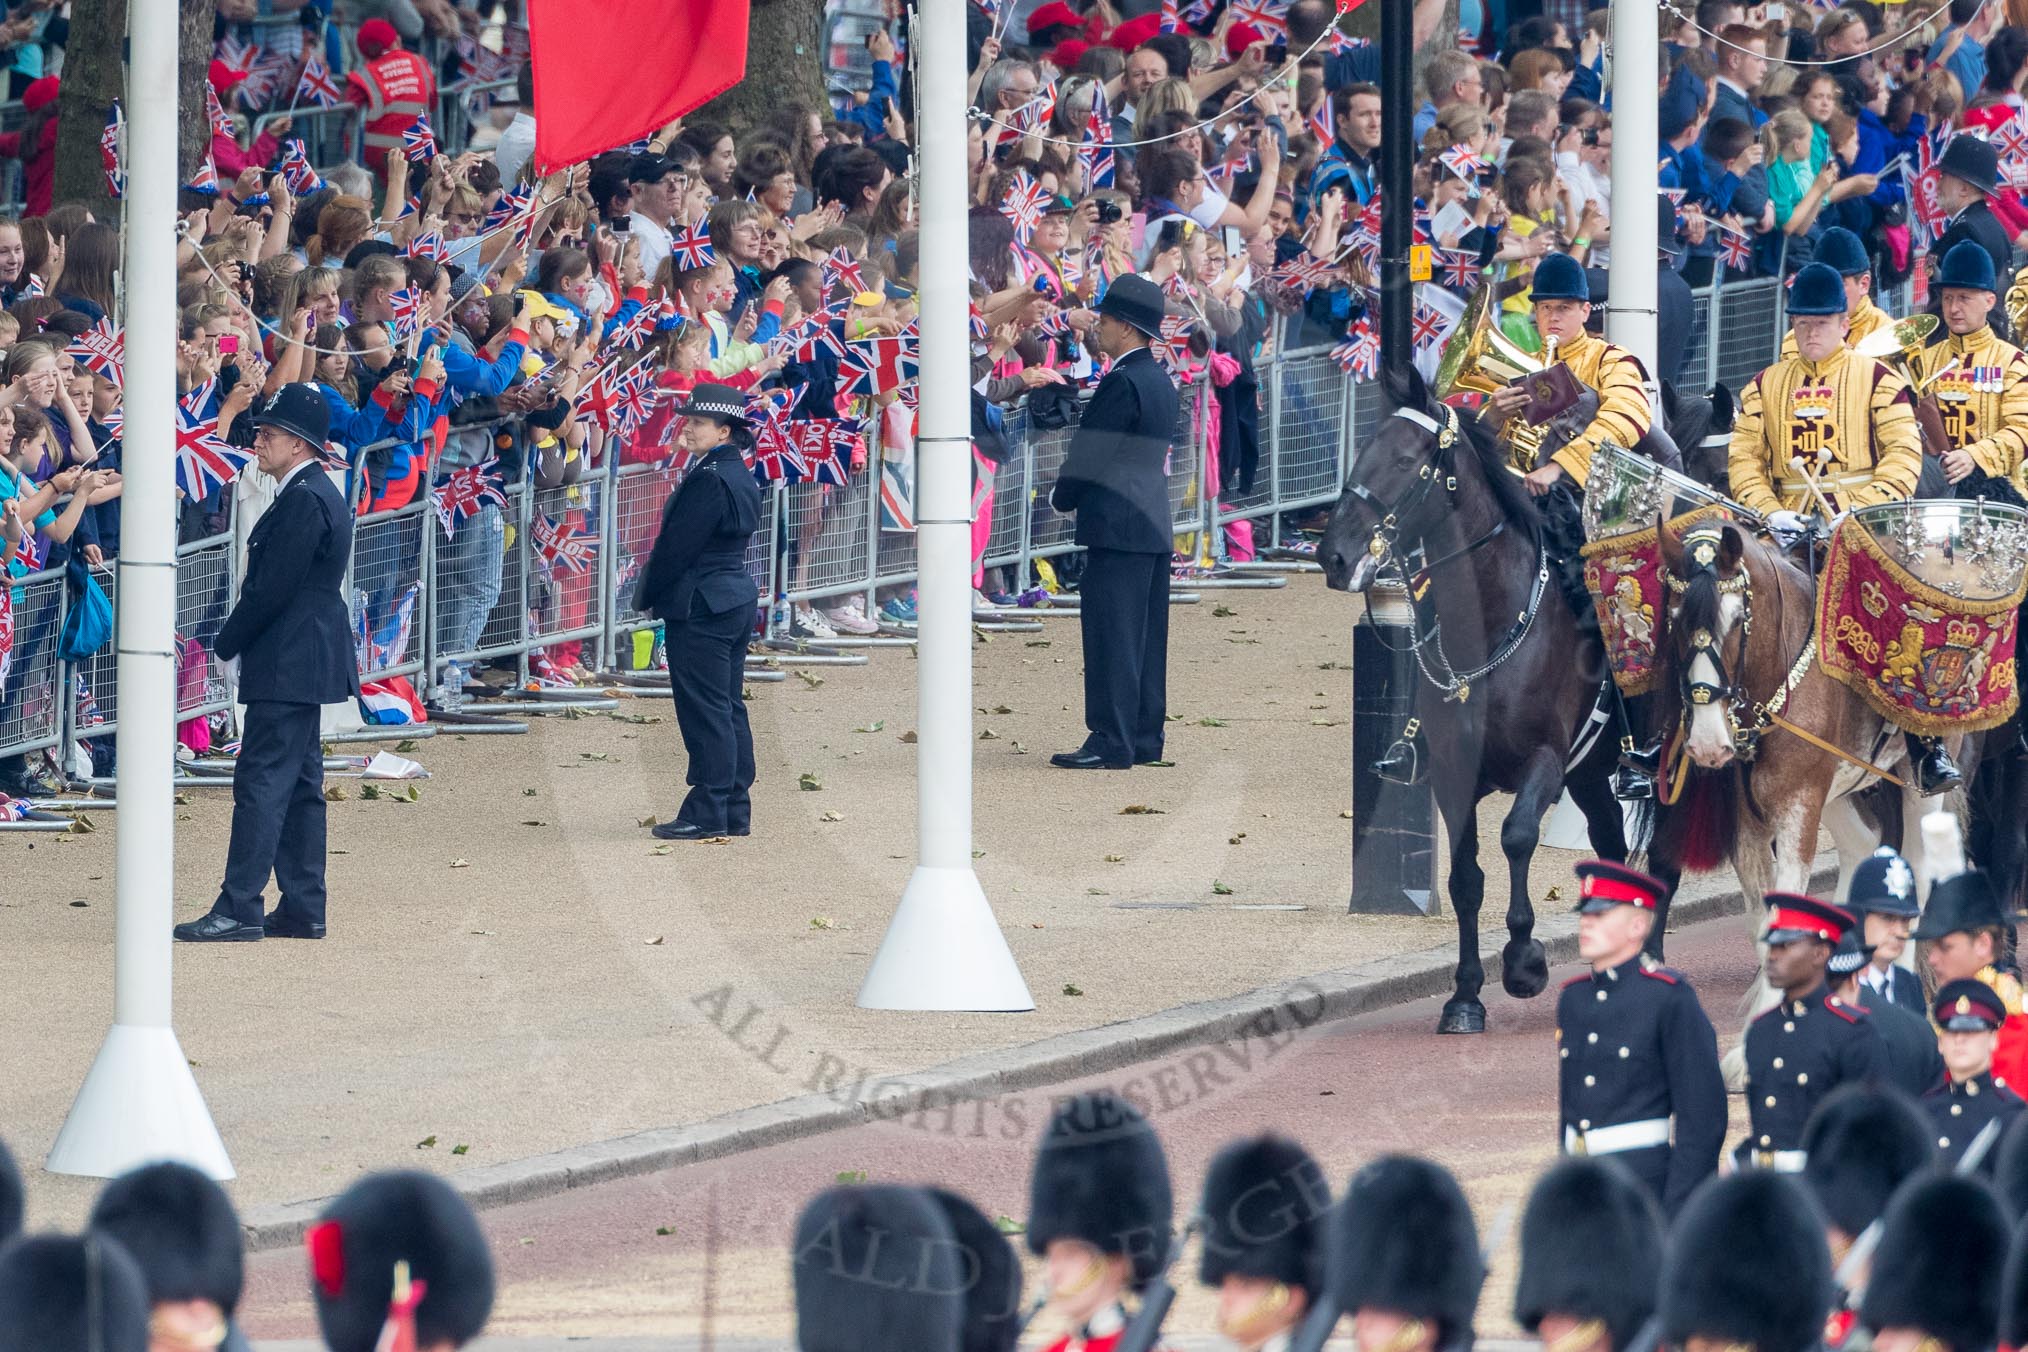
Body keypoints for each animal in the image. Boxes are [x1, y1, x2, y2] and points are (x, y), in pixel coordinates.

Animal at [1322, 364, 1654, 1029]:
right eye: (1362, 451)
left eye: (1404, 460)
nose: (1332, 554)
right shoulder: (1453, 774)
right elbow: (1465, 877)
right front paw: (1466, 995)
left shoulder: (1545, 761)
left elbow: (1517, 837)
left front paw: (1524, 962)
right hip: (1590, 773)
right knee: (1611, 842)